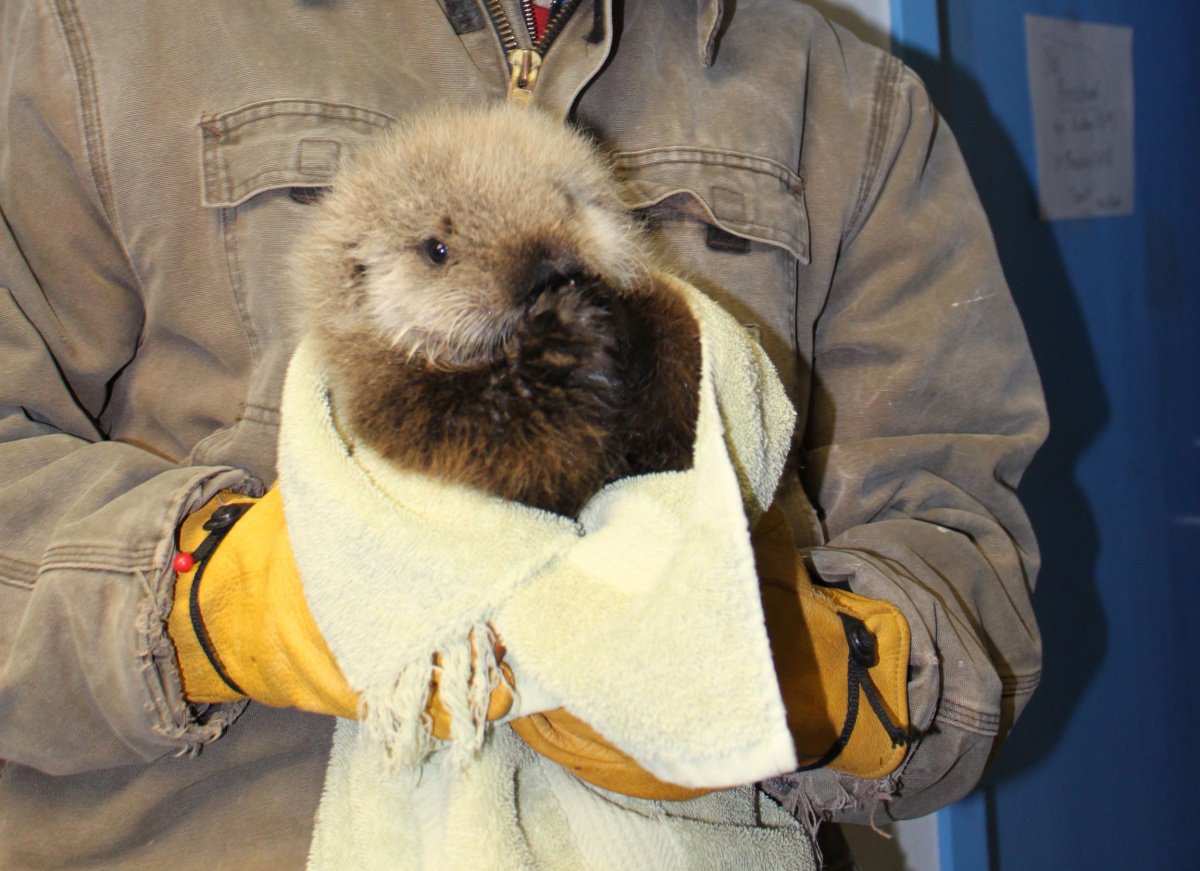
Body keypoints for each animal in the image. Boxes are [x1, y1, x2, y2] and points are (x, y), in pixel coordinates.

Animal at [295, 103, 701, 518]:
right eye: (437, 249)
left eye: (566, 200)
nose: (548, 273)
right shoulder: (412, 415)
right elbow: (535, 455)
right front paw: (567, 326)